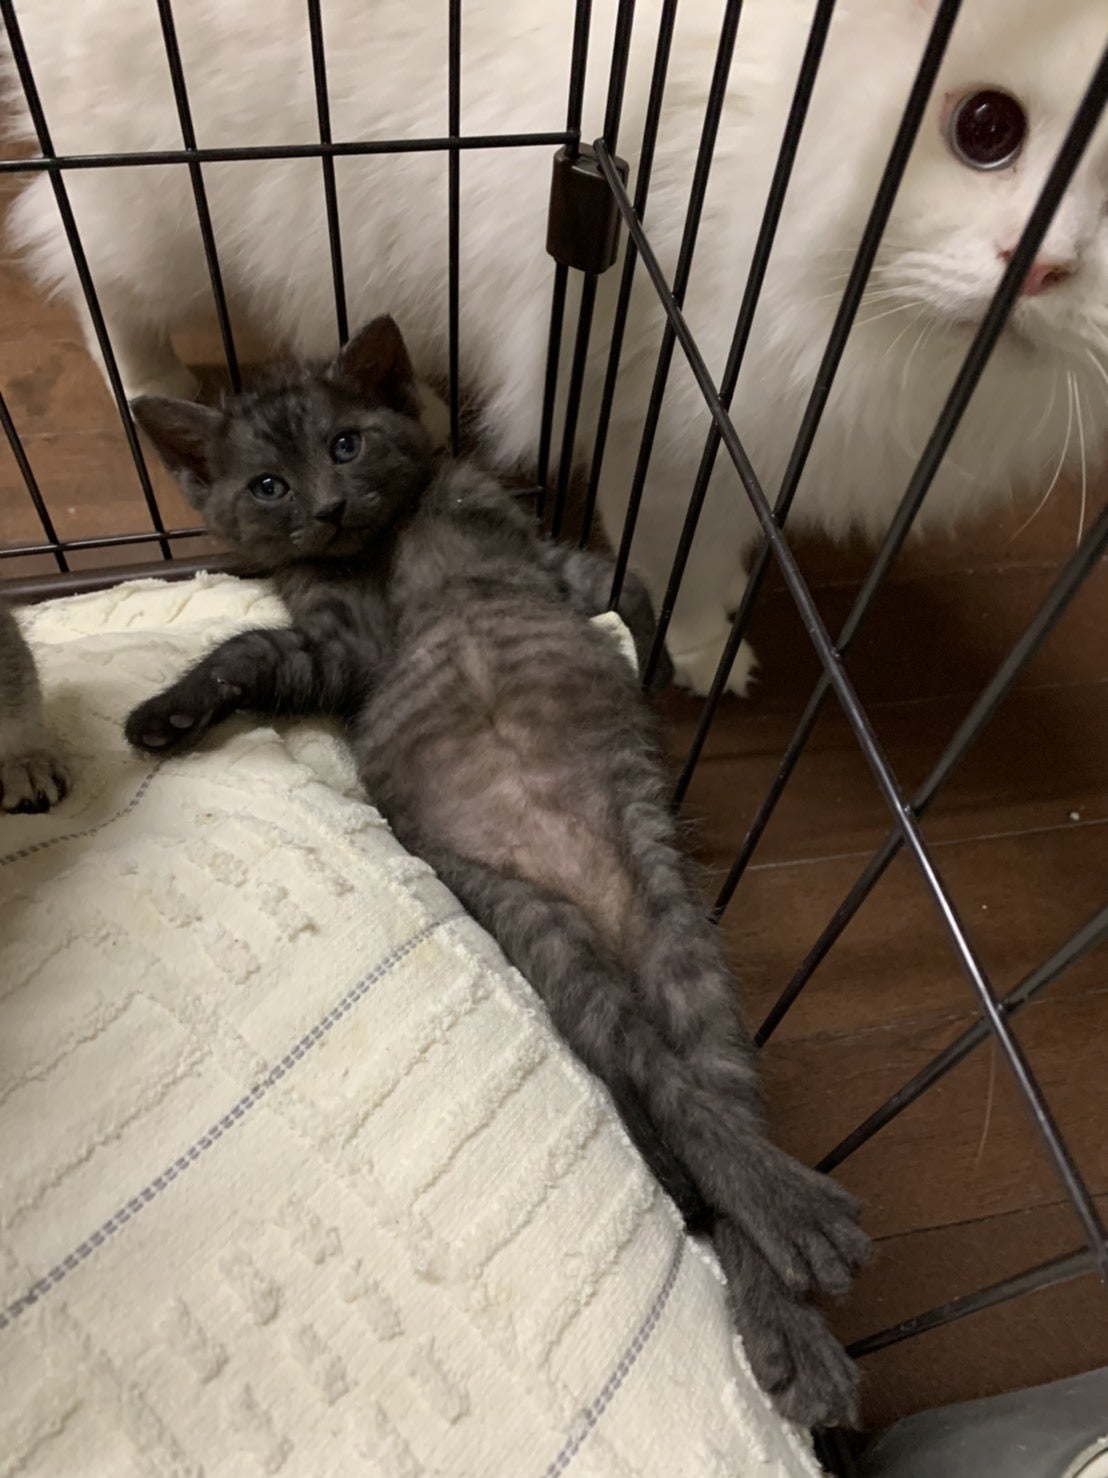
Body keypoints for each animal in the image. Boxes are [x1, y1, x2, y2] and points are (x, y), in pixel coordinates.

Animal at [6, 0, 1106, 696]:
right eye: (986, 127)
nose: (1043, 267)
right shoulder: (673, 411)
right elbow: (677, 555)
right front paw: (707, 653)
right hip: (162, 198)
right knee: (87, 271)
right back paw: (152, 385)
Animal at [124, 316, 871, 1429]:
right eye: (267, 484)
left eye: (346, 443)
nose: (326, 505)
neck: (383, 544)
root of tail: (590, 890)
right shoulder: (341, 651)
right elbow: (256, 646)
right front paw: (170, 710)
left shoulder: (534, 557)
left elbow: (622, 583)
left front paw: (671, 653)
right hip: (534, 923)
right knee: (670, 1092)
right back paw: (794, 1303)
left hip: (677, 927)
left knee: (710, 1100)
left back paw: (797, 1252)